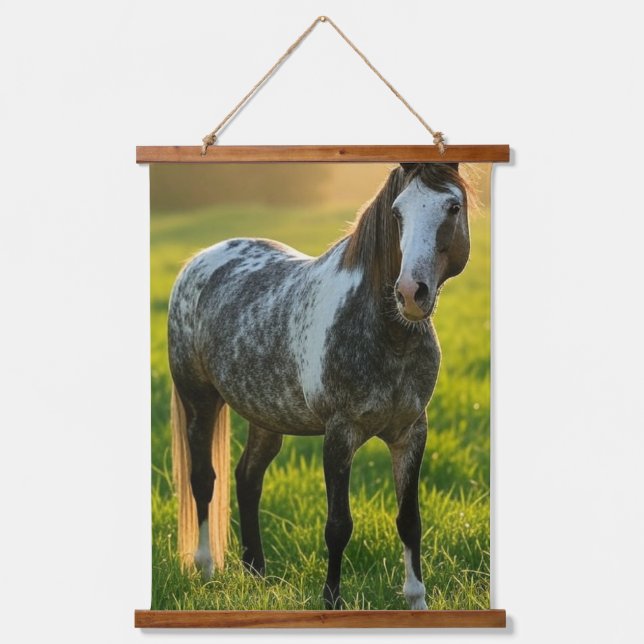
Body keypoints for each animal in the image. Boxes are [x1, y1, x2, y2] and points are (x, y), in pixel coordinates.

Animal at [168, 162, 470, 609]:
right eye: (397, 213)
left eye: (453, 206)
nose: (410, 293)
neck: (388, 334)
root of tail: (198, 262)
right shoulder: (340, 433)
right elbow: (338, 525)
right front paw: (331, 602)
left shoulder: (411, 432)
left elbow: (409, 519)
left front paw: (417, 600)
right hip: (199, 402)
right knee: (204, 479)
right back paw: (206, 569)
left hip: (265, 418)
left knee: (247, 478)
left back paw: (256, 573)